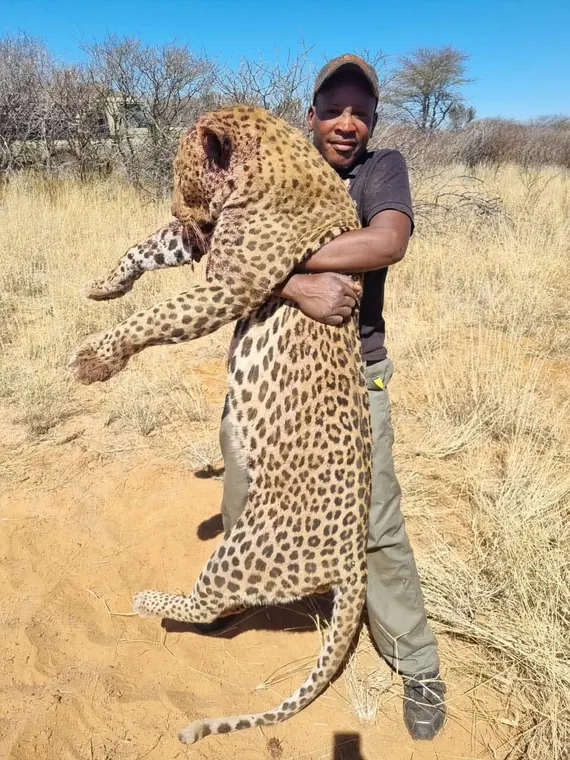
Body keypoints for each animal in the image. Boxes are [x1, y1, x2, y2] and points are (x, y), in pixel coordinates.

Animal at [67, 105, 371, 744]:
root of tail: (355, 560)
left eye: (181, 176)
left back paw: (149, 600)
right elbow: (143, 250)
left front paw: (94, 361)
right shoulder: (204, 246)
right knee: (228, 606)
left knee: (210, 599)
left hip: (245, 552)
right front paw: (103, 286)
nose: (179, 209)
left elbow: (155, 316)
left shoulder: (230, 280)